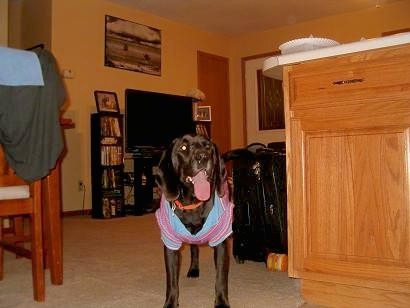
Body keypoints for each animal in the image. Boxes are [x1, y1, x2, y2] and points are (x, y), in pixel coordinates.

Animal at [155, 135, 234, 308]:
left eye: (208, 147)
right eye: (183, 148)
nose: (203, 156)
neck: (193, 203)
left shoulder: (221, 242)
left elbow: (221, 278)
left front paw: (221, 302)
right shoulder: (170, 244)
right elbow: (171, 281)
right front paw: (171, 303)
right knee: (194, 249)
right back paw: (194, 269)